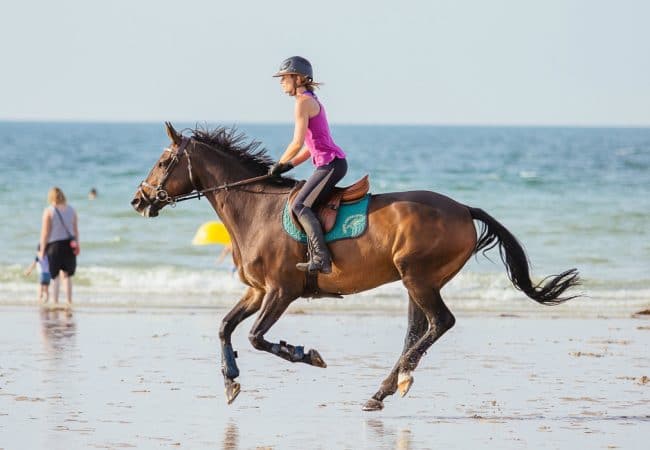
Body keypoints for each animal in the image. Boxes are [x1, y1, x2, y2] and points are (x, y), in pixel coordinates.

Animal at [129, 123, 576, 412]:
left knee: (439, 323)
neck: (254, 208)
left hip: (418, 277)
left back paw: (393, 384)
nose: (138, 200)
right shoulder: (257, 290)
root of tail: (464, 209)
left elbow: (256, 337)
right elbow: (225, 327)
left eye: (165, 161)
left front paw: (304, 354)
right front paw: (230, 380)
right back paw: (387, 387)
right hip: (418, 282)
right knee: (419, 329)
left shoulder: (281, 291)